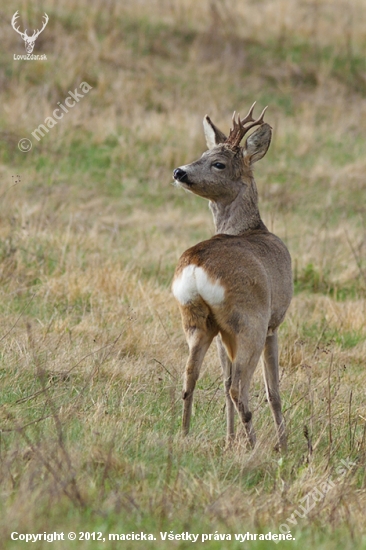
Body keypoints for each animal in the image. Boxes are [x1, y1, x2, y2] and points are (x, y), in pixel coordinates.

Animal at [173, 103, 294, 452]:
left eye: (217, 162)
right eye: (205, 154)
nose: (179, 172)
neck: (250, 228)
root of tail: (196, 266)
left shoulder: (222, 333)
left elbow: (222, 379)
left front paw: (228, 440)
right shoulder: (274, 322)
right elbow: (273, 390)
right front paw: (284, 444)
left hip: (198, 321)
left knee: (190, 377)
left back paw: (184, 435)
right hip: (248, 321)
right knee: (240, 386)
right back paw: (253, 446)